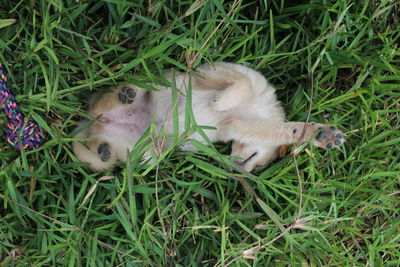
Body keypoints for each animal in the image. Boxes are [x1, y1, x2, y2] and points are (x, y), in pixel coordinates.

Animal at [72, 62, 344, 172]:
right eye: (263, 165)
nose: (235, 172)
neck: (258, 106)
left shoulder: (241, 126)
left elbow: (286, 130)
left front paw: (321, 136)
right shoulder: (218, 72)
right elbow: (243, 84)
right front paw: (222, 101)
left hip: (140, 151)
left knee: (103, 142)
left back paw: (104, 149)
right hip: (142, 85)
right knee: (99, 105)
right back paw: (125, 96)